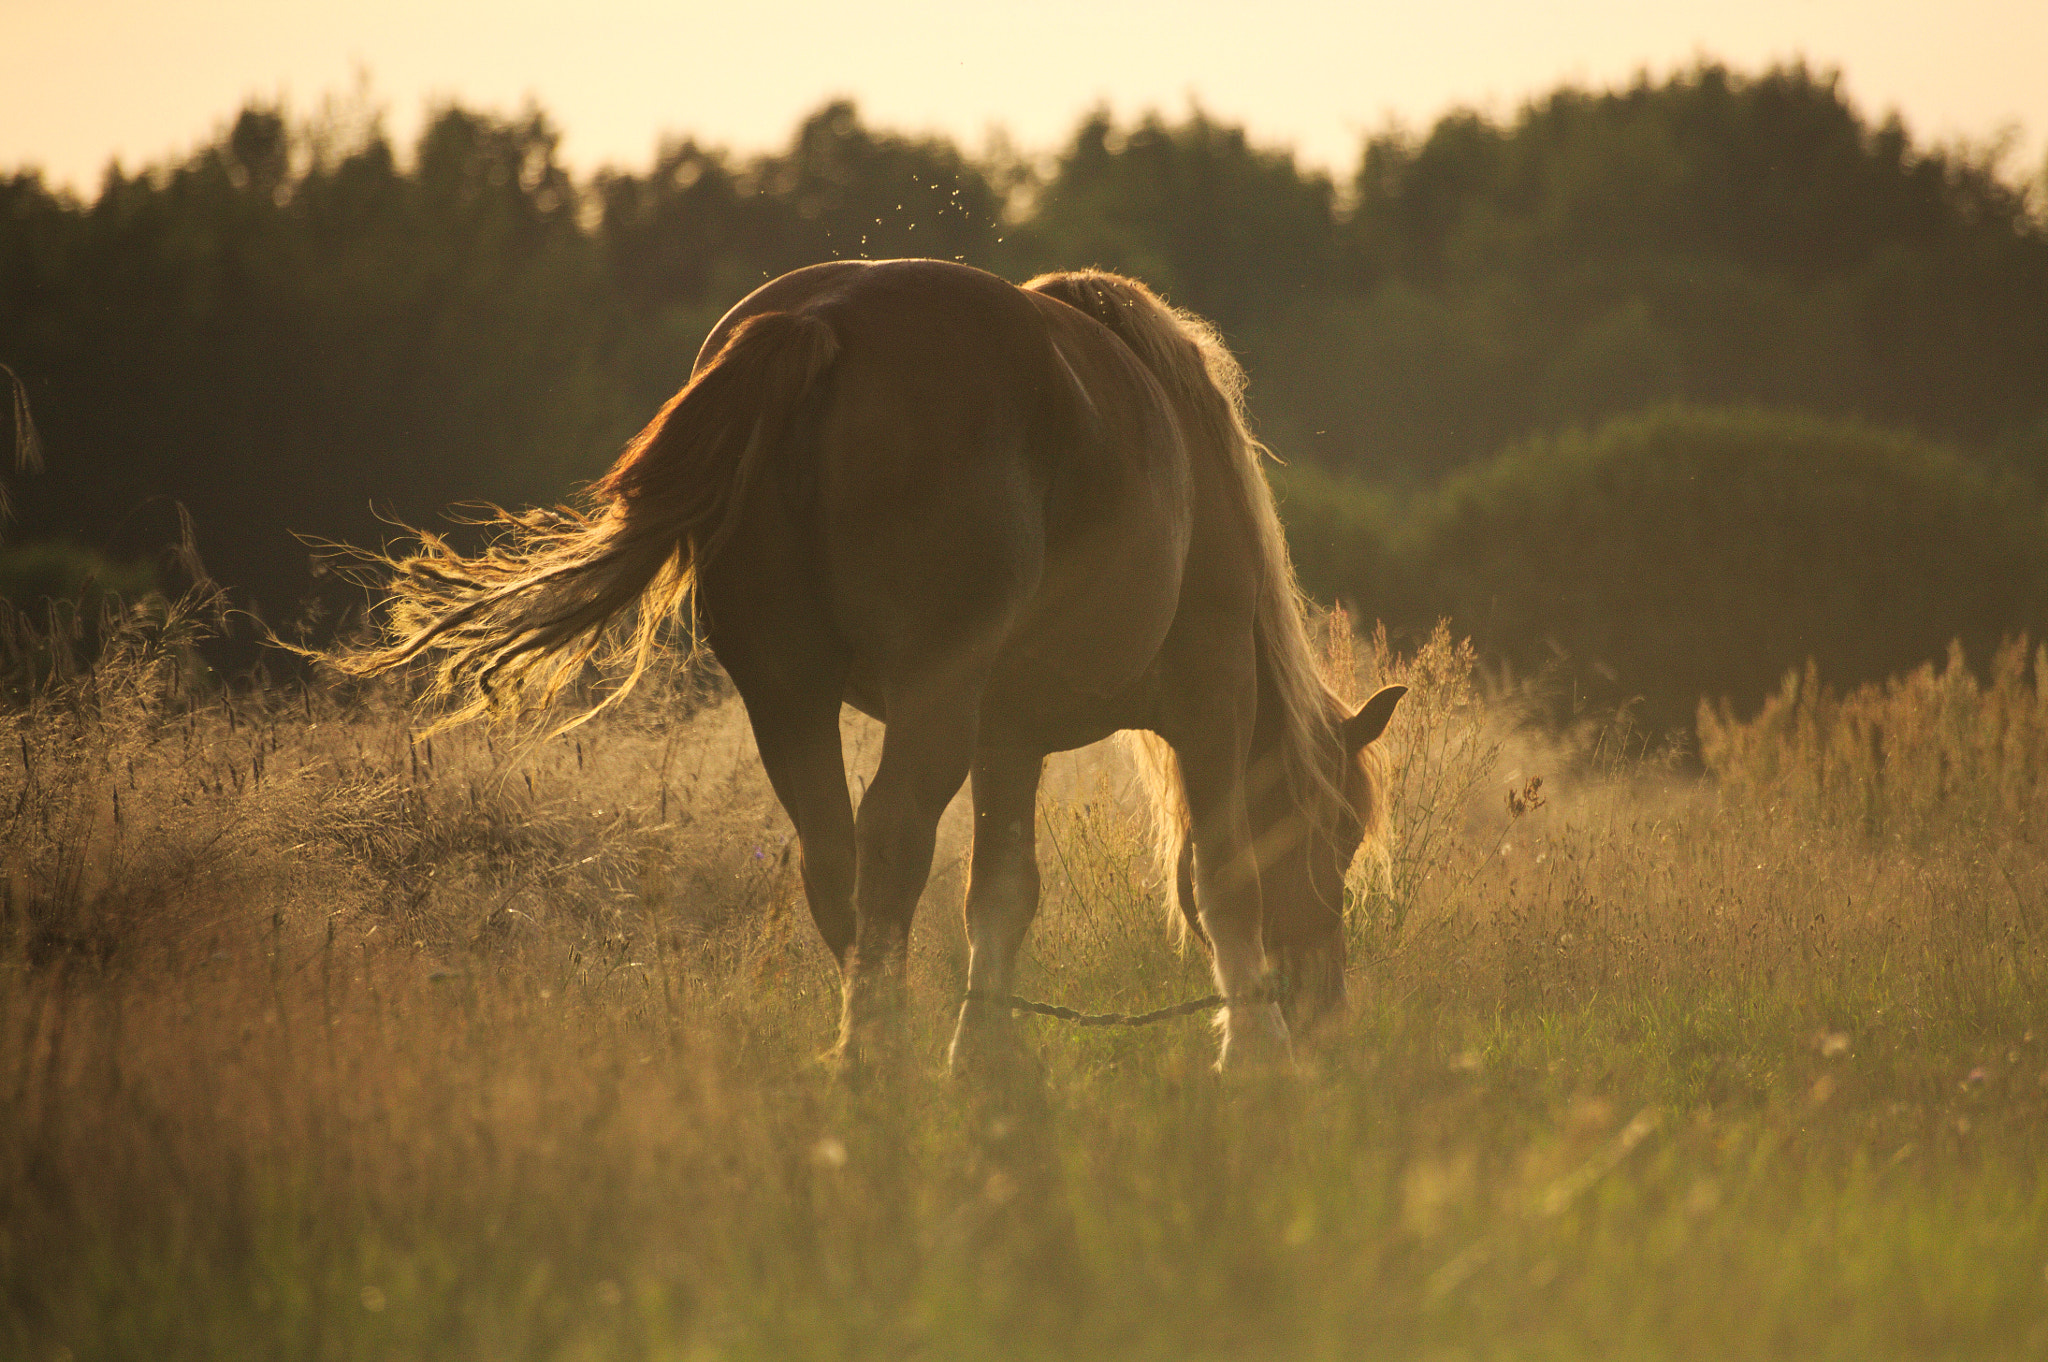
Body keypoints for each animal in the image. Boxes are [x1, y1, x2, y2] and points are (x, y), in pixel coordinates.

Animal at [344, 258, 1405, 1072]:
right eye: (1342, 833)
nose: (1325, 1008)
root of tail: (815, 325)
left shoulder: (1010, 736)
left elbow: (1003, 895)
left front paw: (986, 1059)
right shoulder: (1213, 698)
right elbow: (1228, 876)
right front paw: (1252, 1052)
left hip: (790, 697)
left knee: (836, 861)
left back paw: (872, 1041)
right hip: (929, 702)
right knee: (890, 840)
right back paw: (877, 1052)